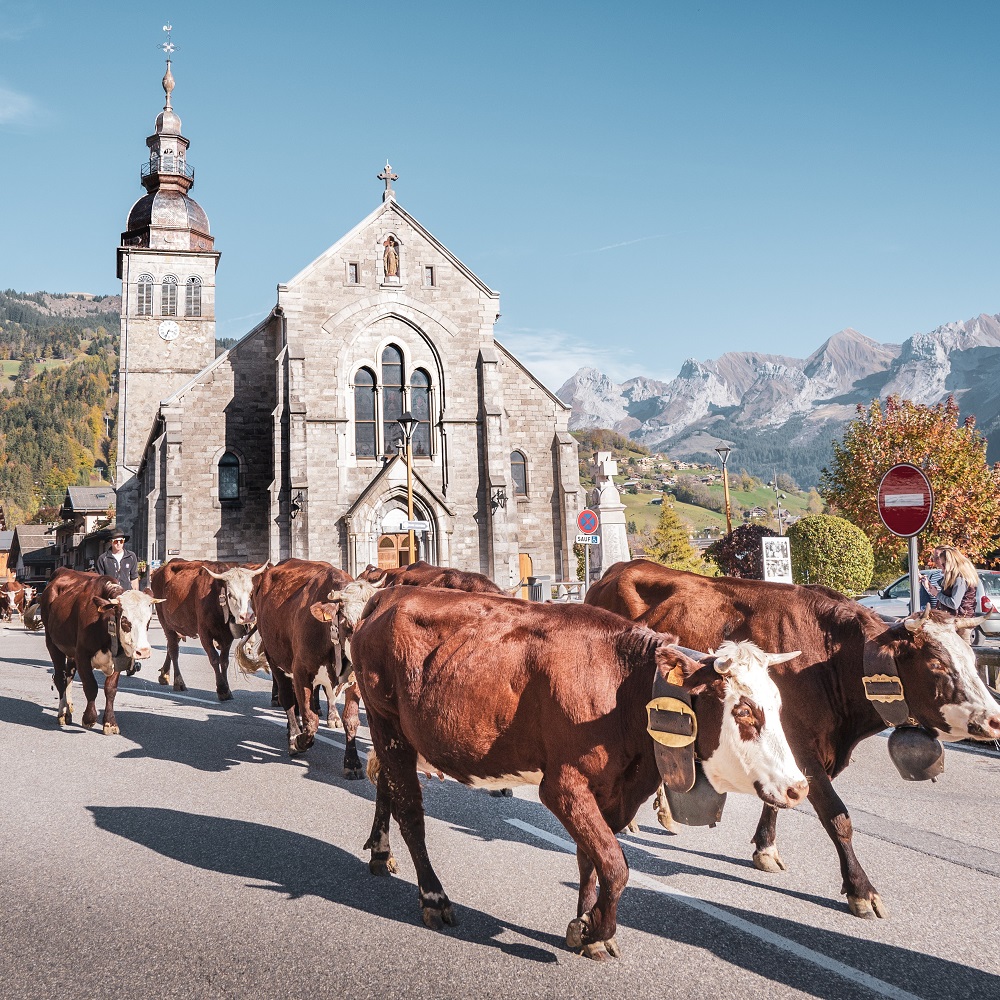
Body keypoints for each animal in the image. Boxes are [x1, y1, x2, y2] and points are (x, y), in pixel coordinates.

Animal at [39, 572, 163, 736]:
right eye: (125, 620)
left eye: (148, 620)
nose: (143, 651)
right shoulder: (82, 656)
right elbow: (91, 686)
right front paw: (89, 718)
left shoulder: (118, 659)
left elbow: (110, 689)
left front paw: (110, 722)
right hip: (53, 644)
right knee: (60, 678)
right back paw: (63, 713)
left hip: (70, 653)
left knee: (69, 677)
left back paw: (69, 708)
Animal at [148, 560, 266, 700]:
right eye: (230, 594)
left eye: (251, 592)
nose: (247, 616)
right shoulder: (204, 633)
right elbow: (214, 658)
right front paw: (222, 688)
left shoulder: (227, 636)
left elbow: (224, 661)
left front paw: (227, 689)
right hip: (166, 624)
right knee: (173, 651)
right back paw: (179, 682)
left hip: (177, 626)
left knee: (171, 647)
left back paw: (164, 675)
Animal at [252, 560, 362, 776]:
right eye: (348, 623)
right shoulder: (301, 672)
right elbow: (311, 719)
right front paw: (299, 741)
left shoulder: (355, 680)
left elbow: (351, 719)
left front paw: (352, 762)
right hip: (275, 659)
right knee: (288, 700)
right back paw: (293, 734)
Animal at [330, 584, 812, 960]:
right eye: (745, 711)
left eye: (779, 705)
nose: (798, 788)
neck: (623, 690)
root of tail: (390, 594)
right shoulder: (562, 785)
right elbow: (615, 864)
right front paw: (597, 928)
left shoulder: (609, 790)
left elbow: (591, 858)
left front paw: (586, 925)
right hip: (386, 721)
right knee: (410, 810)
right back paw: (433, 896)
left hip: (398, 735)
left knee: (388, 788)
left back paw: (380, 852)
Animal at [584, 560, 1000, 916]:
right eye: (937, 664)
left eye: (972, 658)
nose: (994, 720)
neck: (827, 662)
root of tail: (619, 568)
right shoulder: (802, 749)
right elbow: (837, 817)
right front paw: (861, 891)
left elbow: (779, 797)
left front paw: (765, 848)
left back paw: (666, 815)